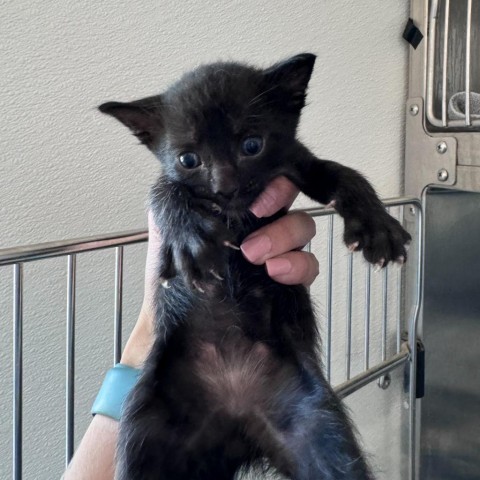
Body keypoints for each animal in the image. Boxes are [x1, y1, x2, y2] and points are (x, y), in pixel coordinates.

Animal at [99, 54, 410, 478]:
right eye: (188, 159)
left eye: (252, 145)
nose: (225, 187)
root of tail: (238, 421)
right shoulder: (169, 181)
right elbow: (165, 190)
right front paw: (190, 235)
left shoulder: (298, 161)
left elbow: (341, 172)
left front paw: (378, 225)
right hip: (147, 428)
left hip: (318, 425)